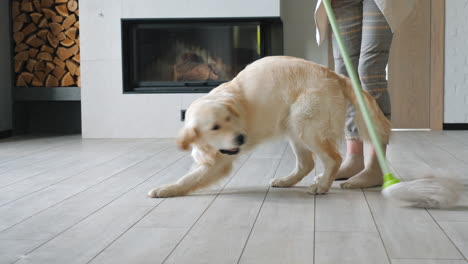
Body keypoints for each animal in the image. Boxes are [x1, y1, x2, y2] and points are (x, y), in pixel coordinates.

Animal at [148, 56, 390, 197]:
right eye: (215, 127)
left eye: (229, 119)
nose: (241, 139)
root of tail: (334, 74)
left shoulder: (220, 162)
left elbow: (189, 179)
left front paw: (165, 189)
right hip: (293, 127)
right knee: (307, 164)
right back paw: (287, 181)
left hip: (305, 125)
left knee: (333, 159)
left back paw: (322, 186)